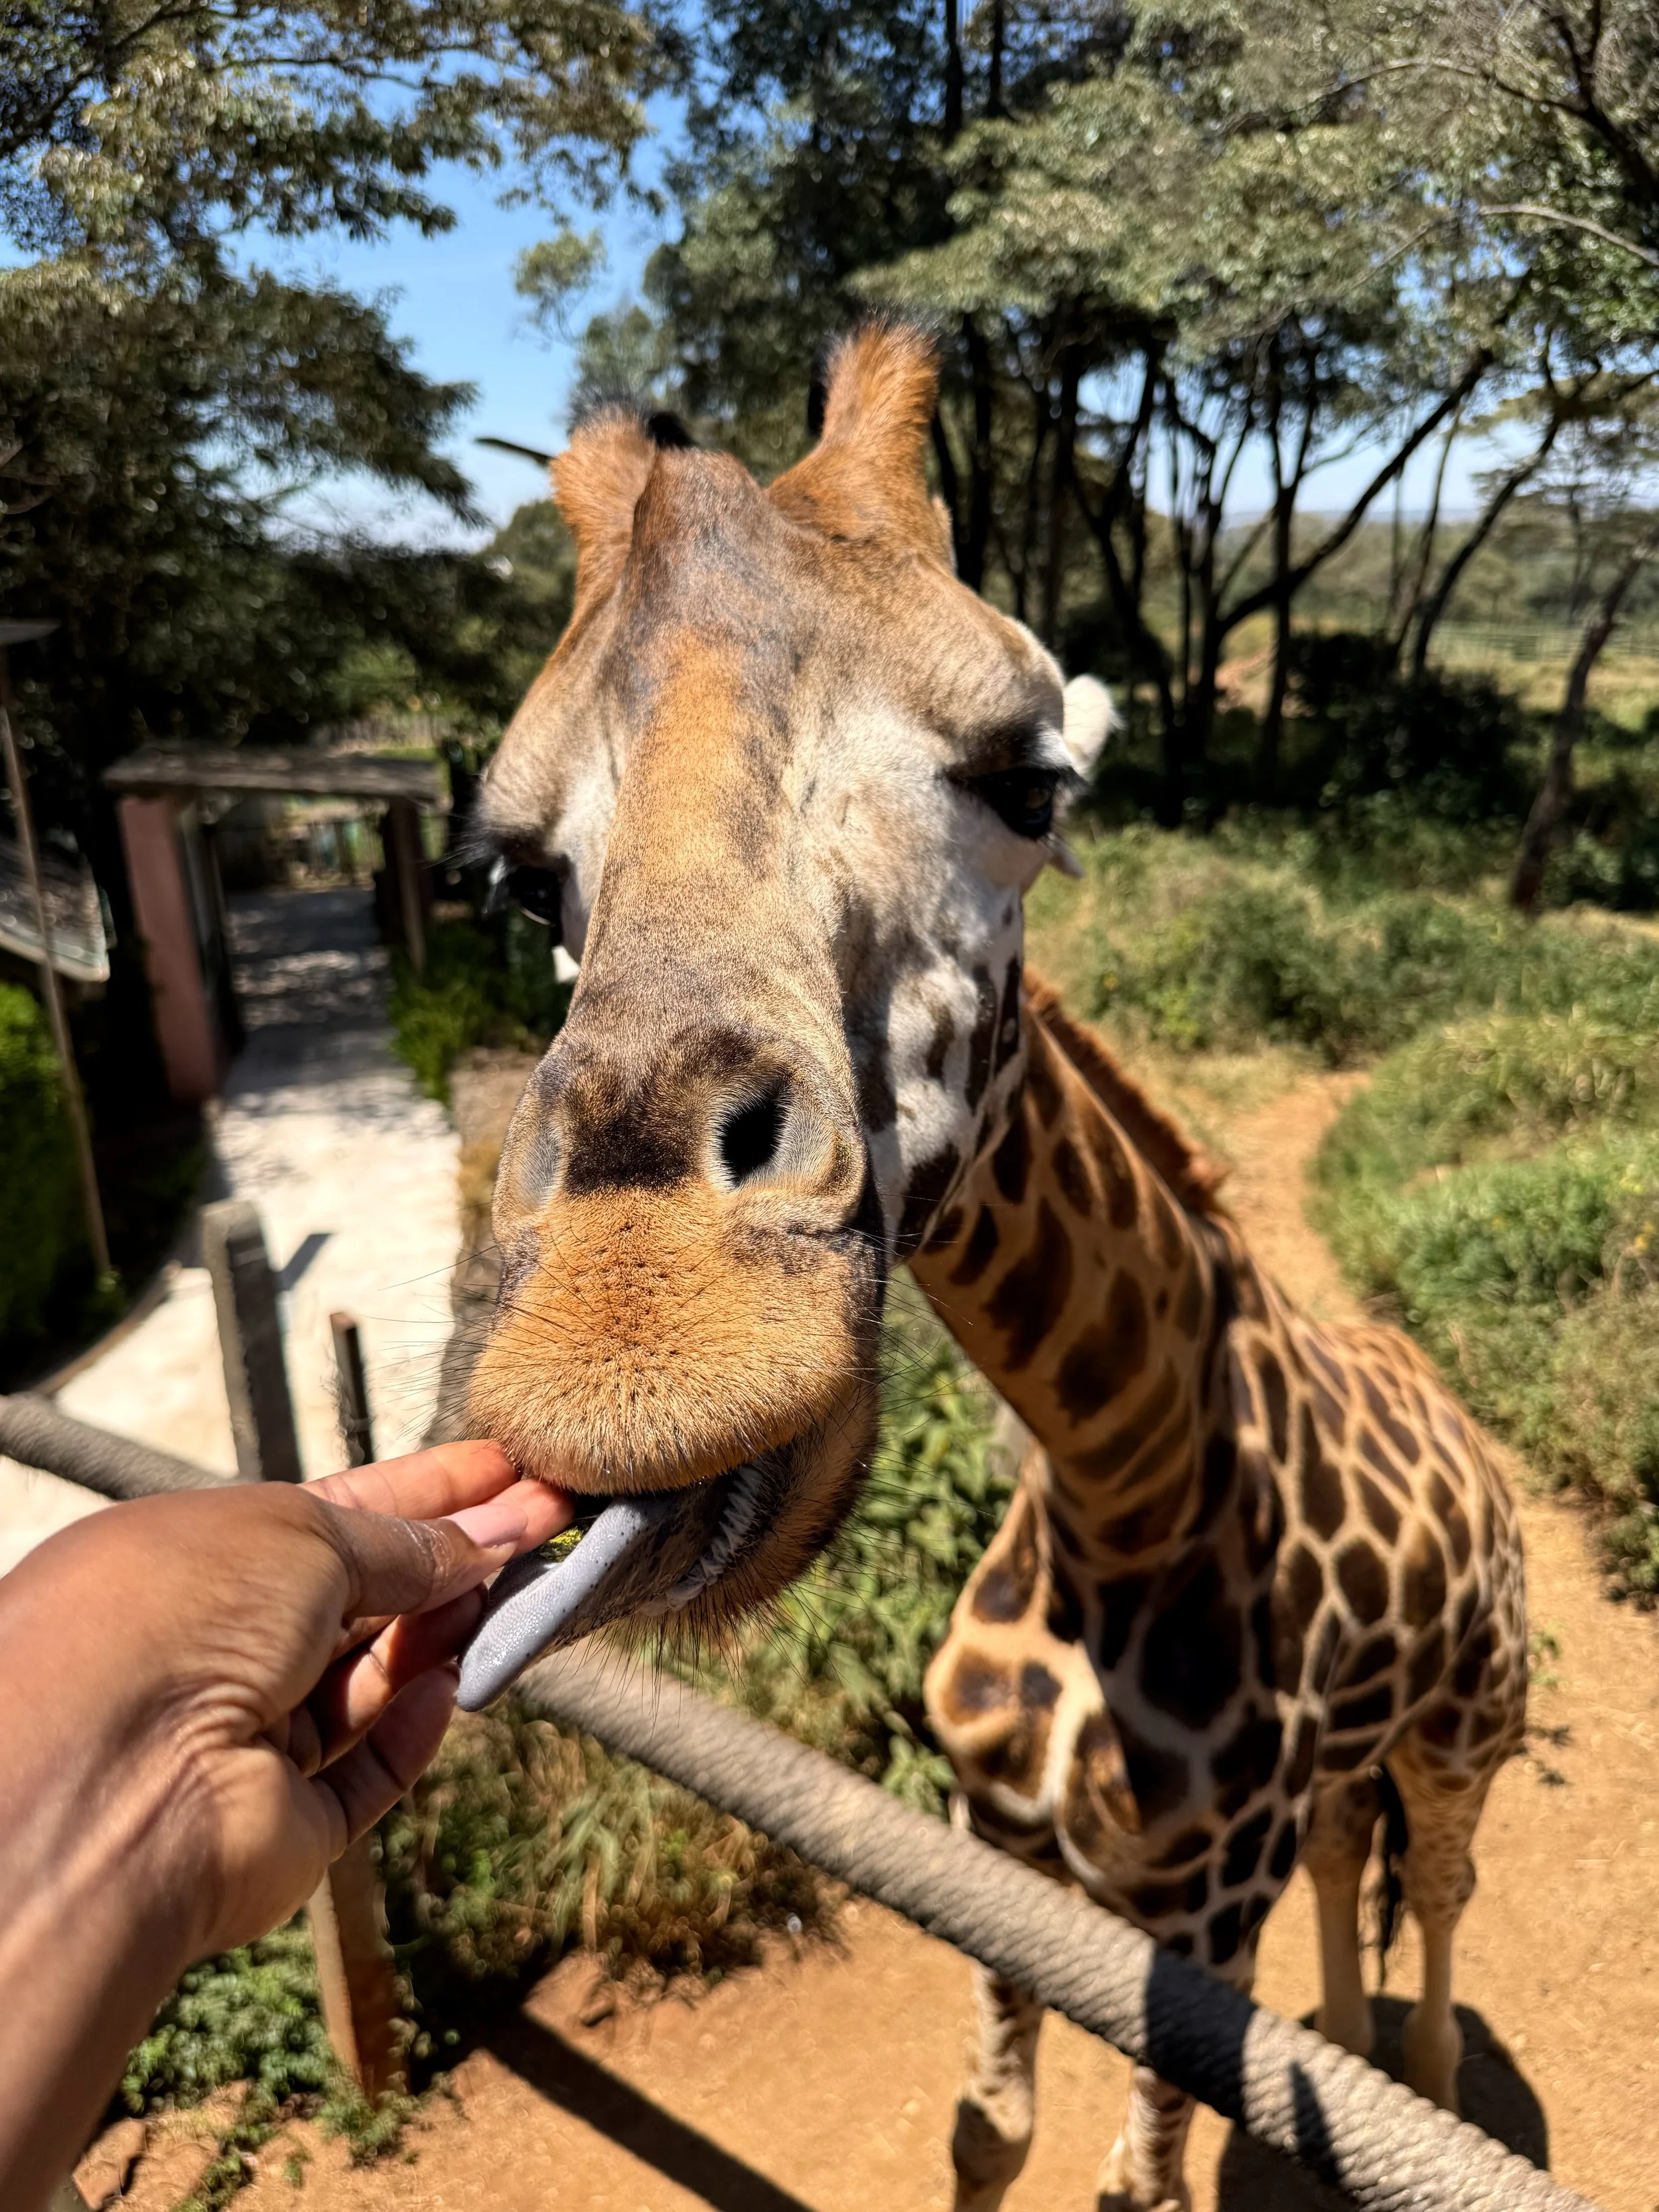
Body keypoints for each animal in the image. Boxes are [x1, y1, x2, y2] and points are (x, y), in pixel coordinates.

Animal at [458, 319, 1528, 2212]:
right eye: (521, 879)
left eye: (1032, 788)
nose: (635, 1331)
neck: (1117, 1489)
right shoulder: (1004, 1843)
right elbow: (990, 2127)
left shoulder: (1202, 1889)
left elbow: (1140, 2177)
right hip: (1345, 1774)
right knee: (1355, 1876)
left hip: (1466, 1722)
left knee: (1439, 1912)